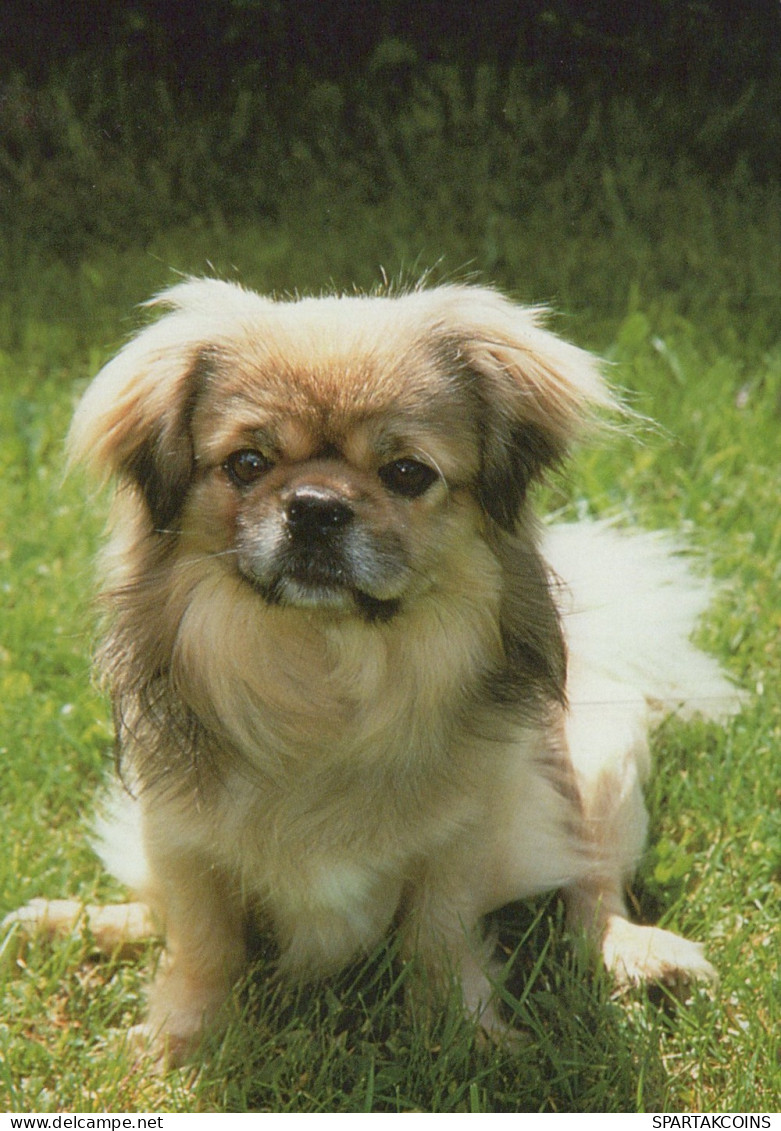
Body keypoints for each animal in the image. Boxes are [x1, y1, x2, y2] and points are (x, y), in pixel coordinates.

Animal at [6, 280, 741, 1058]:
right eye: (247, 464)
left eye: (407, 474)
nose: (316, 506)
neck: (325, 665)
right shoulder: (179, 830)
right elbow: (203, 941)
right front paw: (180, 1042)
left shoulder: (461, 838)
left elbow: (438, 938)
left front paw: (463, 1039)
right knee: (156, 911)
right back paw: (74, 923)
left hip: (598, 764)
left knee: (591, 889)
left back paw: (636, 953)